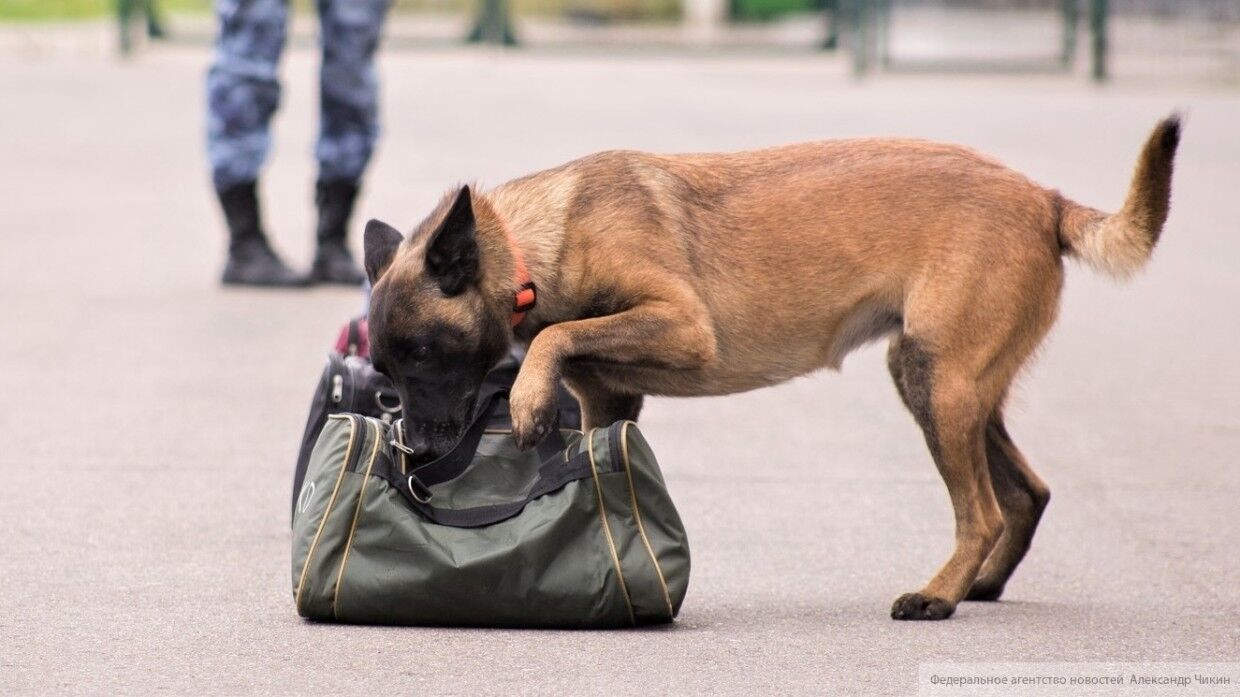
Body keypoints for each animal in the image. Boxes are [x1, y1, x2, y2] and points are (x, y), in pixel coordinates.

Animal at [362, 114, 1180, 617]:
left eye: (425, 353)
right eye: (385, 369)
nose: (418, 452)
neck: (535, 243)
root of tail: (1044, 198)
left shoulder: (684, 326)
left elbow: (555, 336)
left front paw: (529, 397)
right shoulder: (610, 401)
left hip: (937, 383)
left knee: (980, 511)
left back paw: (938, 595)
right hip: (951, 386)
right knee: (1028, 493)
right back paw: (978, 584)